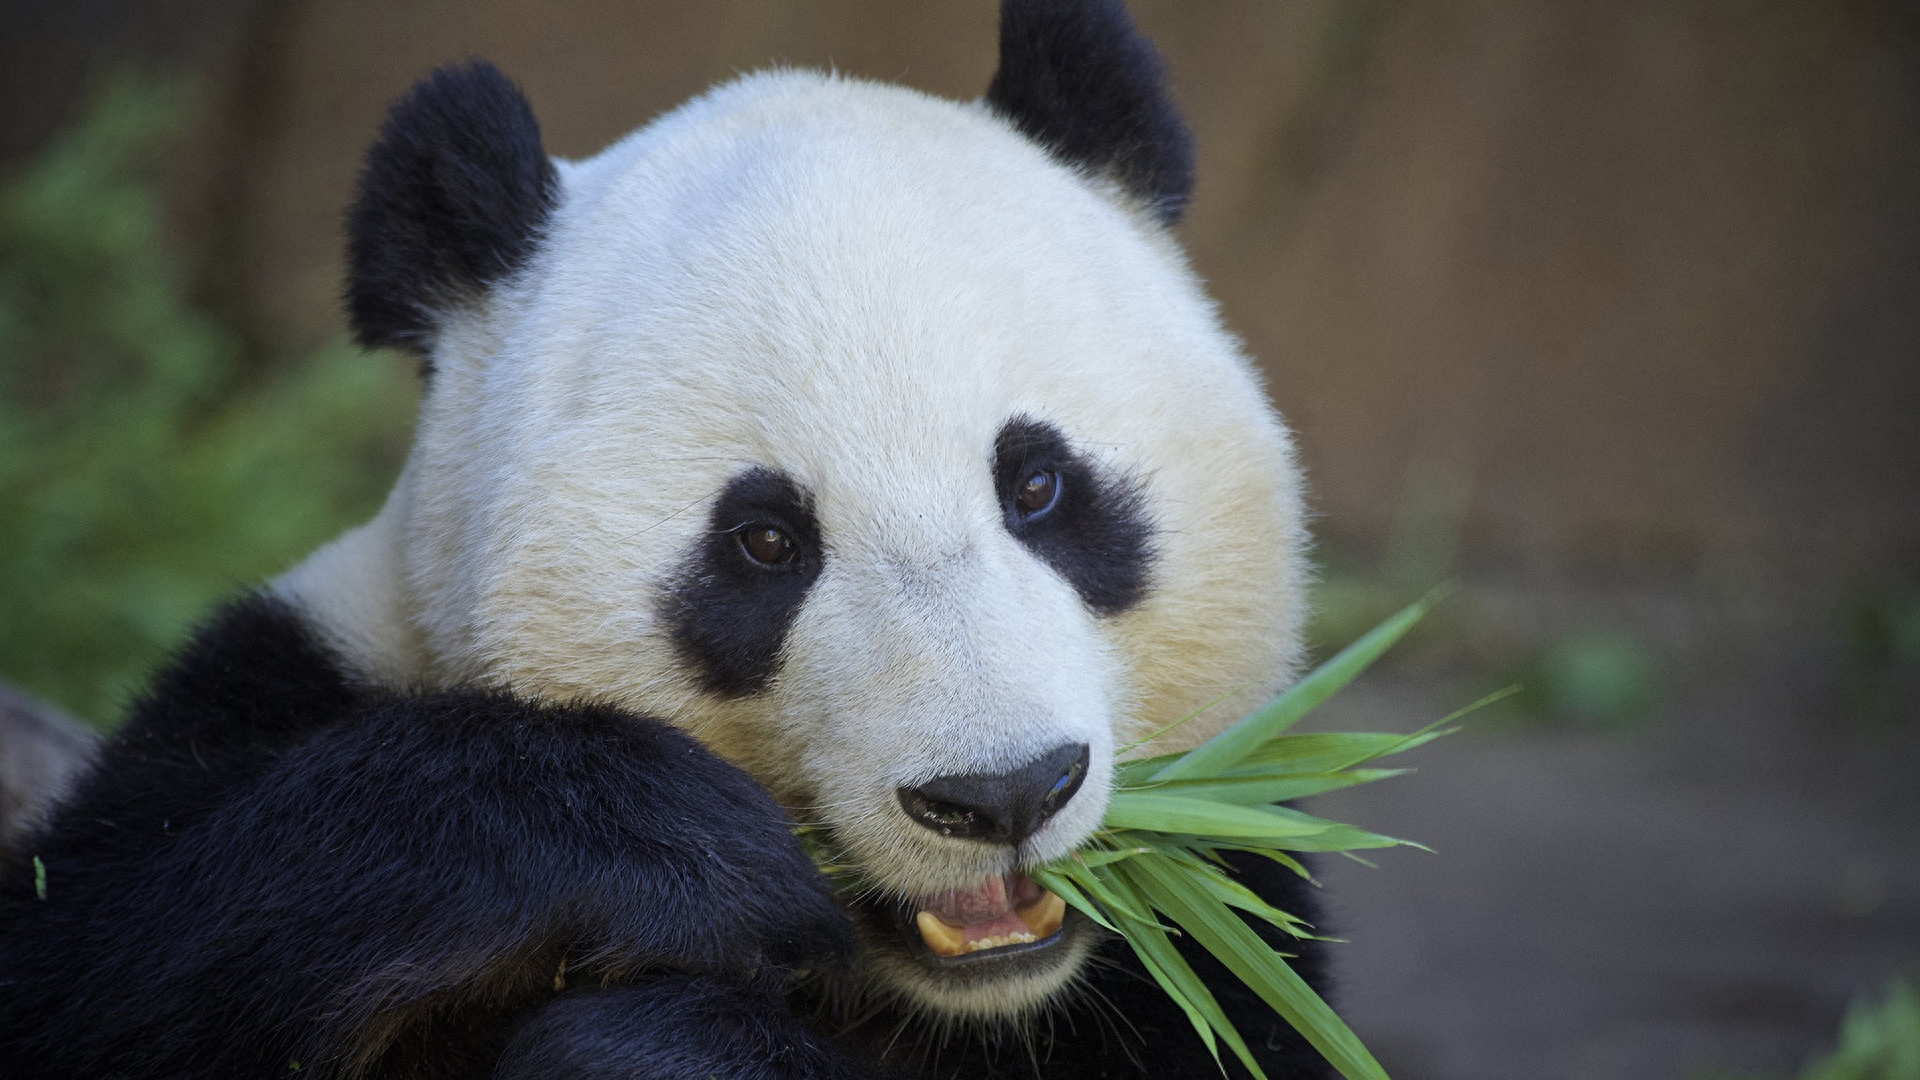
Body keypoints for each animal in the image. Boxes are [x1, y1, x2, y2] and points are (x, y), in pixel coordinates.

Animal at [0, 2, 1336, 1076]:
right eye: (765, 542)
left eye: (1041, 487)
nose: (1000, 793)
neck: (938, 995)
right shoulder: (290, 688)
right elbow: (100, 956)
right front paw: (683, 854)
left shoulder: (1223, 930)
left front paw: (662, 1040)